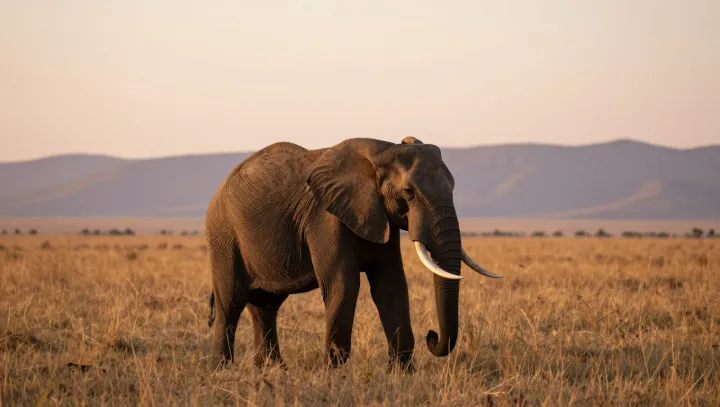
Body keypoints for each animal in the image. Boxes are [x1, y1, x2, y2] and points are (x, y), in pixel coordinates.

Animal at [205, 136, 501, 372]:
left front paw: (401, 374)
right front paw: (333, 374)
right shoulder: (325, 217)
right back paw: (223, 370)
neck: (383, 151)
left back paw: (273, 371)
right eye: (408, 192)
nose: (431, 335)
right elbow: (343, 284)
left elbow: (391, 285)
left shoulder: (381, 216)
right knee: (231, 300)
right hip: (223, 234)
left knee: (266, 305)